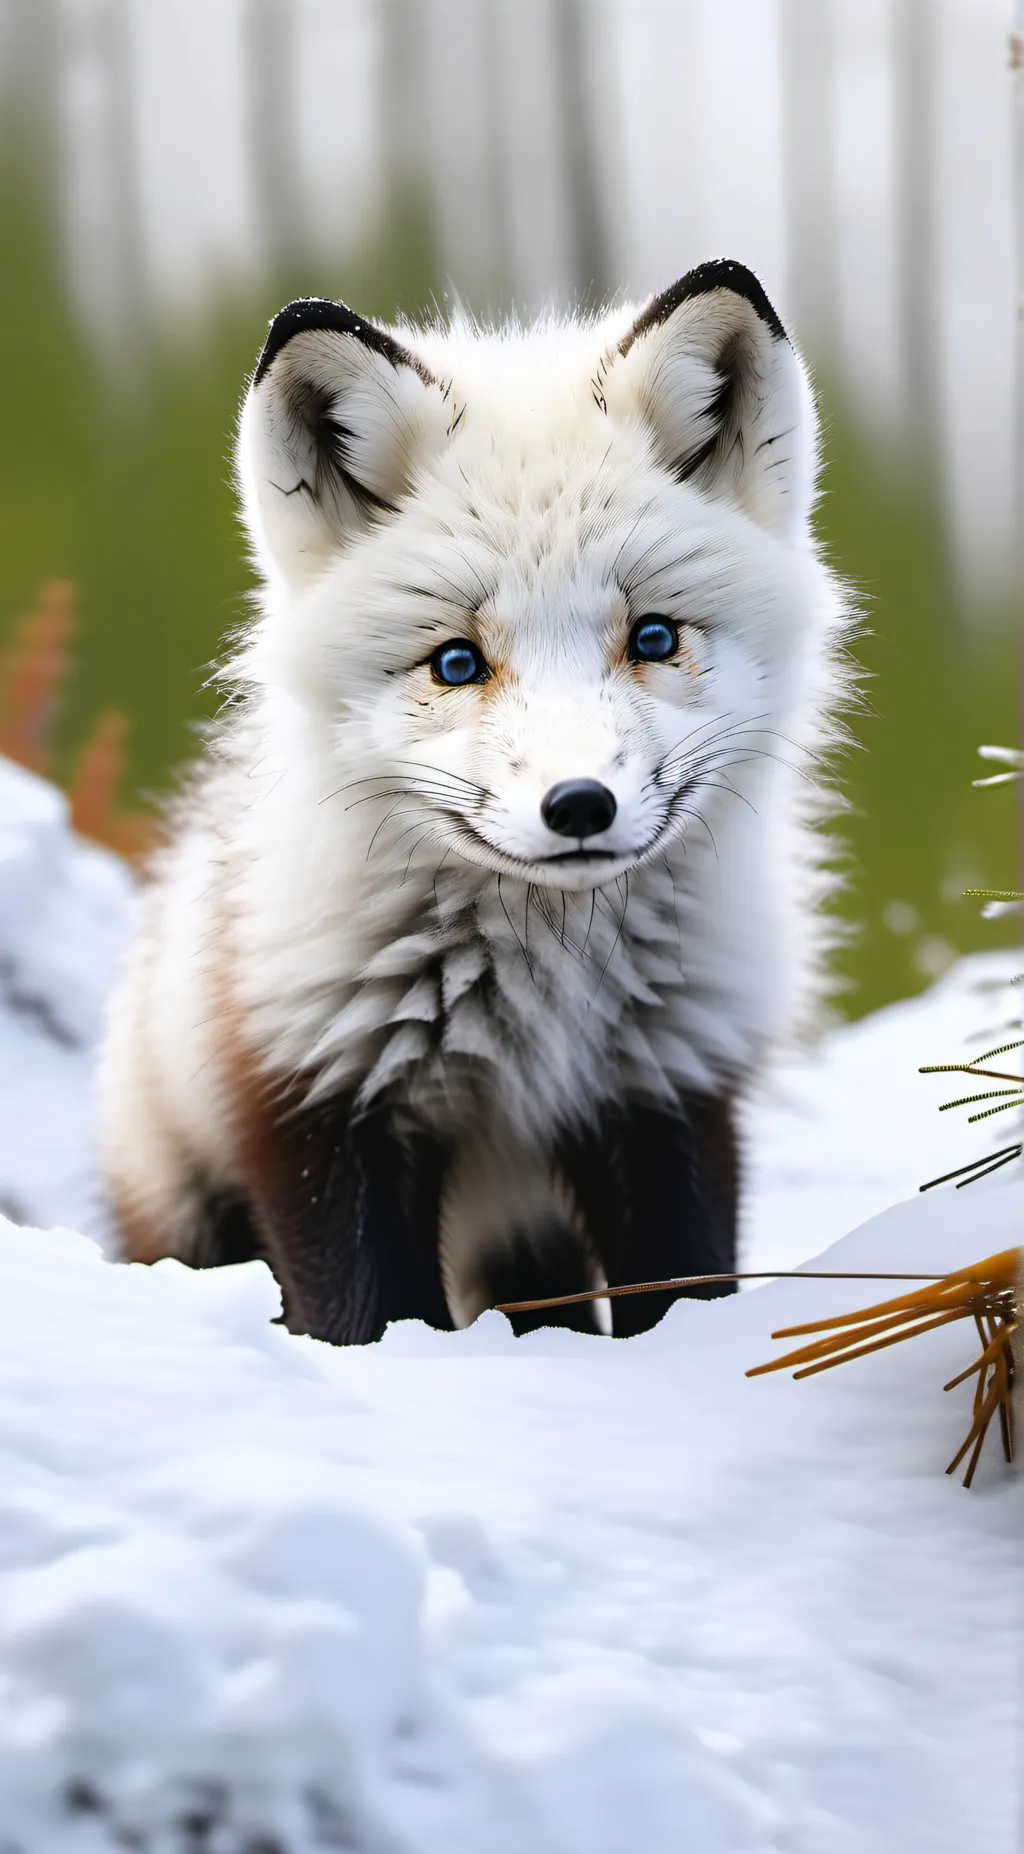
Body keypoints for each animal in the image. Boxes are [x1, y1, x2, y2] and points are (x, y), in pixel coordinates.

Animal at [99, 259, 849, 1344]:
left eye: (654, 639)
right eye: (457, 663)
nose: (578, 805)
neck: (542, 998)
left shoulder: (669, 1099)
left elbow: (681, 1299)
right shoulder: (319, 1114)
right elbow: (365, 1324)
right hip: (190, 1210)